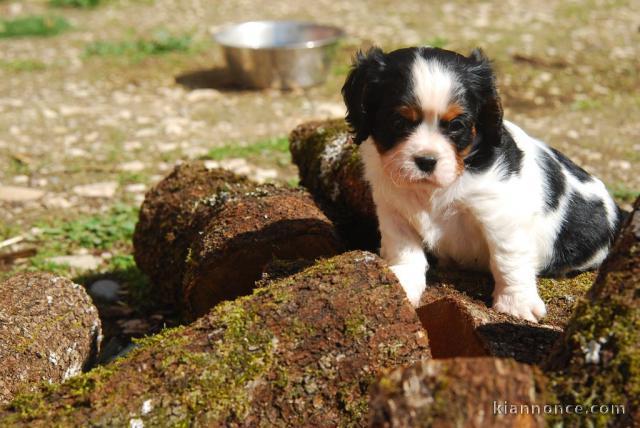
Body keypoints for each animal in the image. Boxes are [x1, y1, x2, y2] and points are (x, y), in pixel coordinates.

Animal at [342, 46, 624, 320]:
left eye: (457, 125)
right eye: (398, 122)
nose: (426, 161)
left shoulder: (499, 213)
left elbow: (507, 258)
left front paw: (516, 303)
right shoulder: (393, 210)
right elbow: (404, 248)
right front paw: (402, 284)